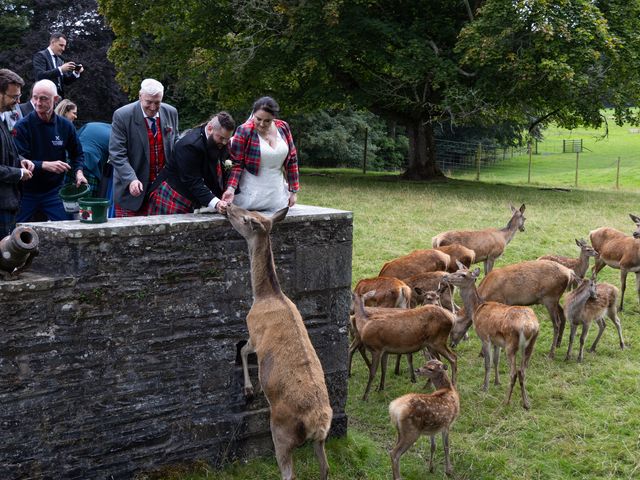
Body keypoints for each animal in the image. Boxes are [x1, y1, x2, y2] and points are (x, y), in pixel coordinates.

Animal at [228, 204, 332, 478]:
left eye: (247, 218)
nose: (228, 206)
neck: (266, 295)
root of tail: (318, 421)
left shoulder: (254, 331)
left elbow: (243, 349)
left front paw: (248, 390)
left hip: (281, 430)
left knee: (288, 472)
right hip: (320, 440)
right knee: (325, 467)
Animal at [444, 262, 540, 408]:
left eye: (463, 275)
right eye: (457, 270)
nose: (445, 277)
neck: (477, 309)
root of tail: (530, 327)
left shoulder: (484, 337)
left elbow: (487, 363)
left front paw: (485, 386)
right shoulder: (497, 341)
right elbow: (496, 361)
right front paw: (497, 382)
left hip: (511, 345)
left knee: (514, 372)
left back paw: (506, 401)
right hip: (530, 345)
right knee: (522, 371)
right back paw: (526, 403)